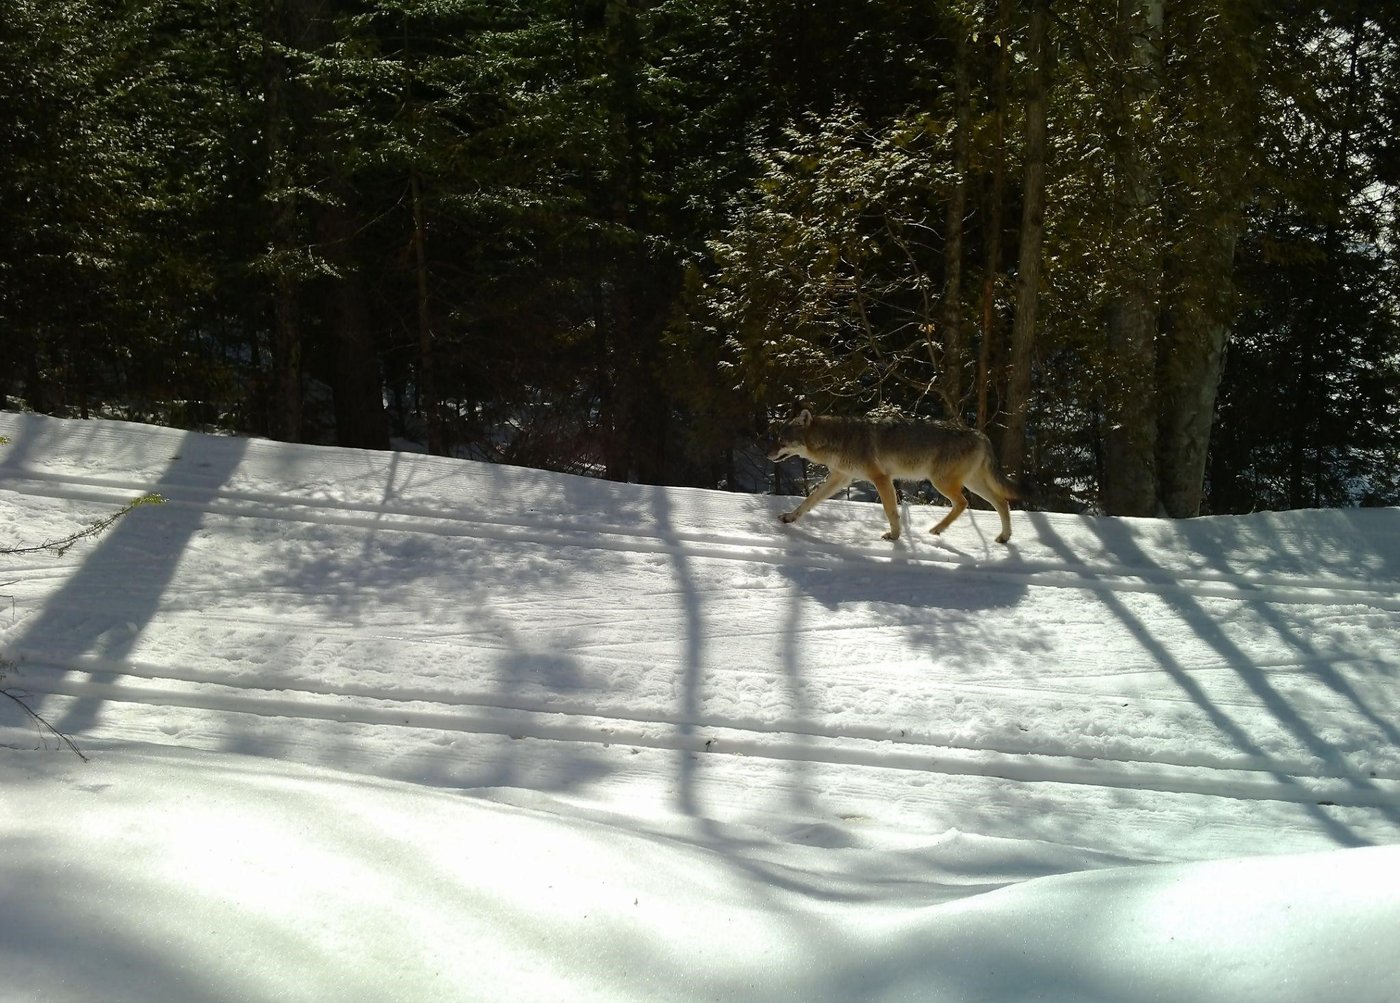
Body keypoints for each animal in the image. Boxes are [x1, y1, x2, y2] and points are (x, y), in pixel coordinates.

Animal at [766, 409, 1021, 543]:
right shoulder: (841, 479)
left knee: (964, 503)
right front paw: (789, 517)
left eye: (781, 440)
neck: (837, 439)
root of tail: (981, 435)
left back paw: (937, 529)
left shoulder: (881, 478)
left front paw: (895, 536)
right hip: (970, 483)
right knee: (1002, 502)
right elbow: (809, 501)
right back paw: (1004, 537)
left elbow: (891, 511)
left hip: (943, 483)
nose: (767, 454)